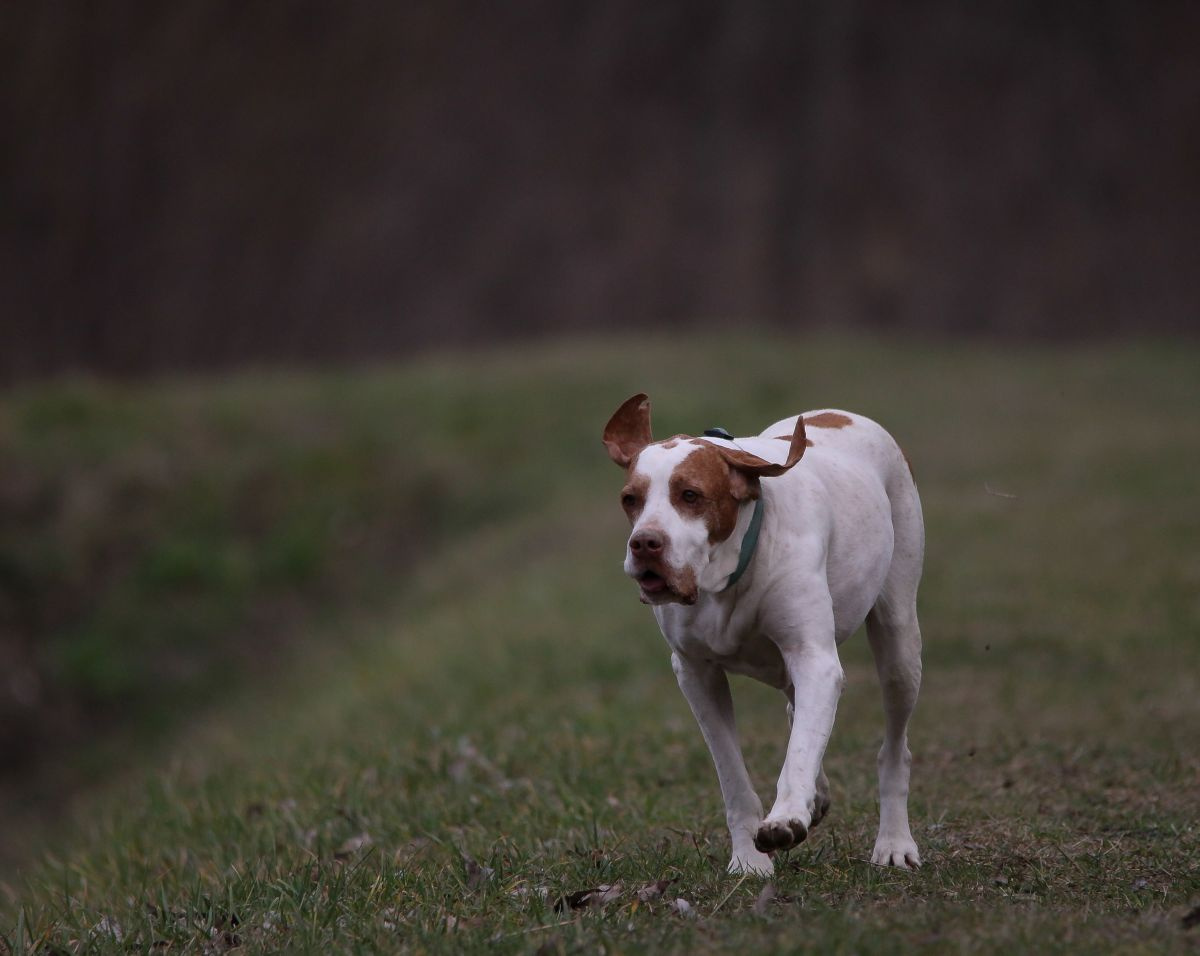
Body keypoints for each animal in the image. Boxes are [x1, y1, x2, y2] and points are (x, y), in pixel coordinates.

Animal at [600, 393, 926, 873]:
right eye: (631, 499)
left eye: (690, 495)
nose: (644, 543)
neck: (728, 574)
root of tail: (844, 414)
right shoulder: (696, 674)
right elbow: (733, 774)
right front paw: (749, 860)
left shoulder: (813, 658)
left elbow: (800, 751)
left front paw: (787, 817)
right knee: (796, 711)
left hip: (899, 642)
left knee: (894, 746)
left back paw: (894, 841)